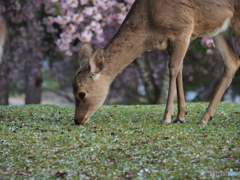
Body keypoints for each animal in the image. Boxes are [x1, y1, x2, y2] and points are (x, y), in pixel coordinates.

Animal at [72, 0, 240, 125]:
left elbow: (173, 69)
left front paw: (166, 118)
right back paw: (205, 118)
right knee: (232, 62)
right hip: (220, 32)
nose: (78, 120)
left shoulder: (183, 29)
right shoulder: (173, 43)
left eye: (81, 93)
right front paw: (180, 117)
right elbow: (180, 68)